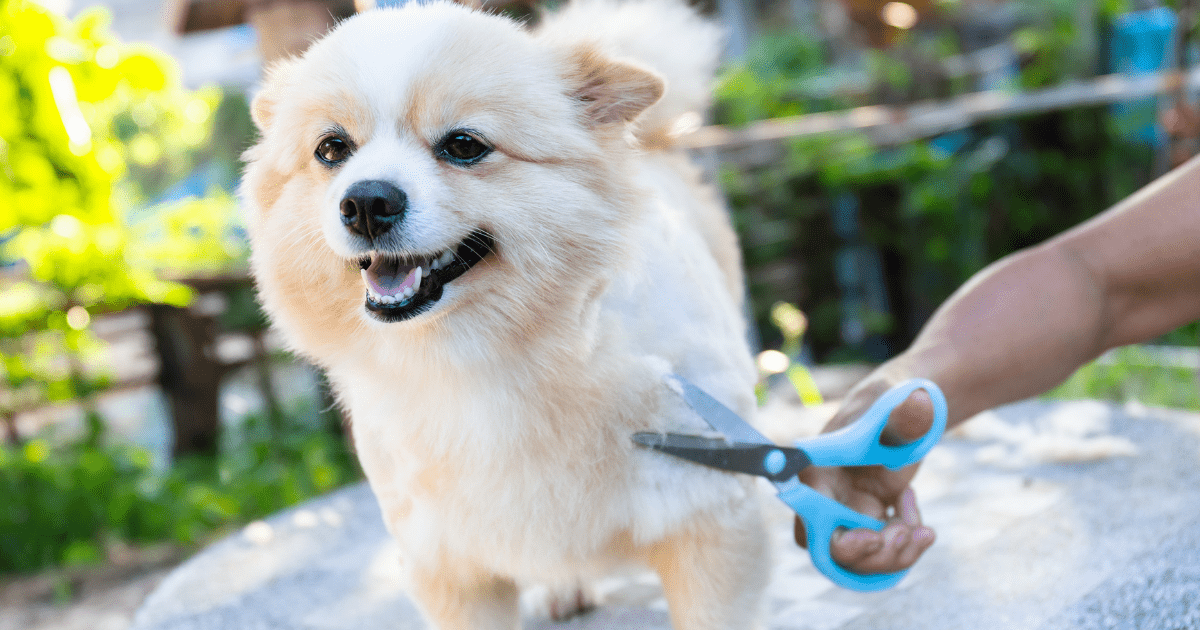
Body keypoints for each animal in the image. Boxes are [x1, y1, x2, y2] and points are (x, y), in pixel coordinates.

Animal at [241, 0, 768, 624]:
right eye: (331, 150)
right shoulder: (450, 565)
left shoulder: (712, 514)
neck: (484, 358)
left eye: (464, 145)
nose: (366, 201)